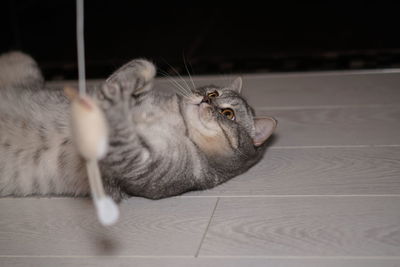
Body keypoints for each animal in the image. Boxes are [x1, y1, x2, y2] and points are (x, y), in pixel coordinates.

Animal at [0, 51, 276, 202]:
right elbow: (141, 66)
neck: (181, 124)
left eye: (228, 113)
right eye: (213, 92)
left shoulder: (139, 168)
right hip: (25, 63)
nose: (207, 99)